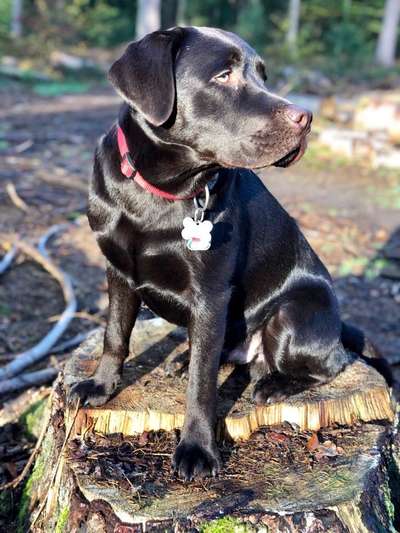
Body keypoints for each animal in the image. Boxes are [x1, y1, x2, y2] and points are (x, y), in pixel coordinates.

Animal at [68, 27, 360, 480]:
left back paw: (273, 384)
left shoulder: (210, 294)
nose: (306, 118)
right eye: (224, 75)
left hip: (292, 314)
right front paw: (101, 386)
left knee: (329, 363)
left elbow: (201, 385)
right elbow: (114, 336)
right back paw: (184, 358)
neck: (160, 191)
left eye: (262, 75)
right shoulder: (117, 271)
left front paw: (197, 450)